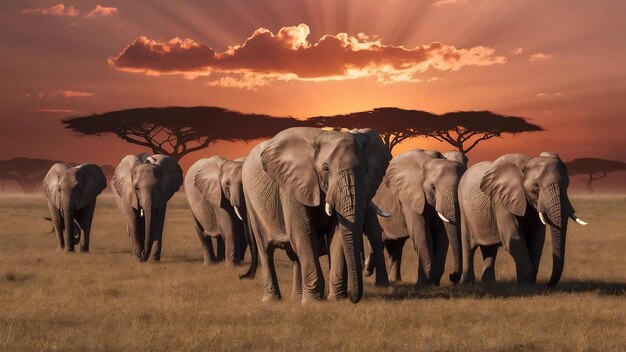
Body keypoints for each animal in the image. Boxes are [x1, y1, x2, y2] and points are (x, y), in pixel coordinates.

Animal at [241, 128, 388, 304]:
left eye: (365, 169)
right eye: (326, 169)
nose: (353, 297)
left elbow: (337, 234)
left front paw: (335, 300)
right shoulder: (291, 185)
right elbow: (303, 232)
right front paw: (313, 302)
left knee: (295, 256)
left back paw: (296, 299)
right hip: (251, 201)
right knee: (265, 250)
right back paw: (272, 300)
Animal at [358, 149, 466, 286]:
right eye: (433, 187)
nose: (452, 276)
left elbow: (442, 236)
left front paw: (433, 284)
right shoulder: (410, 196)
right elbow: (421, 233)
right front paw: (423, 285)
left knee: (395, 245)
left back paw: (392, 280)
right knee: (380, 238)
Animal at [458, 152, 584, 286]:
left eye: (567, 184)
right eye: (536, 186)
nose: (546, 283)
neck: (527, 162)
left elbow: (537, 239)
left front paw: (531, 284)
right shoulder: (501, 201)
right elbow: (514, 238)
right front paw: (525, 287)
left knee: (489, 249)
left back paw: (489, 283)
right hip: (464, 210)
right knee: (468, 247)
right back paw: (468, 283)